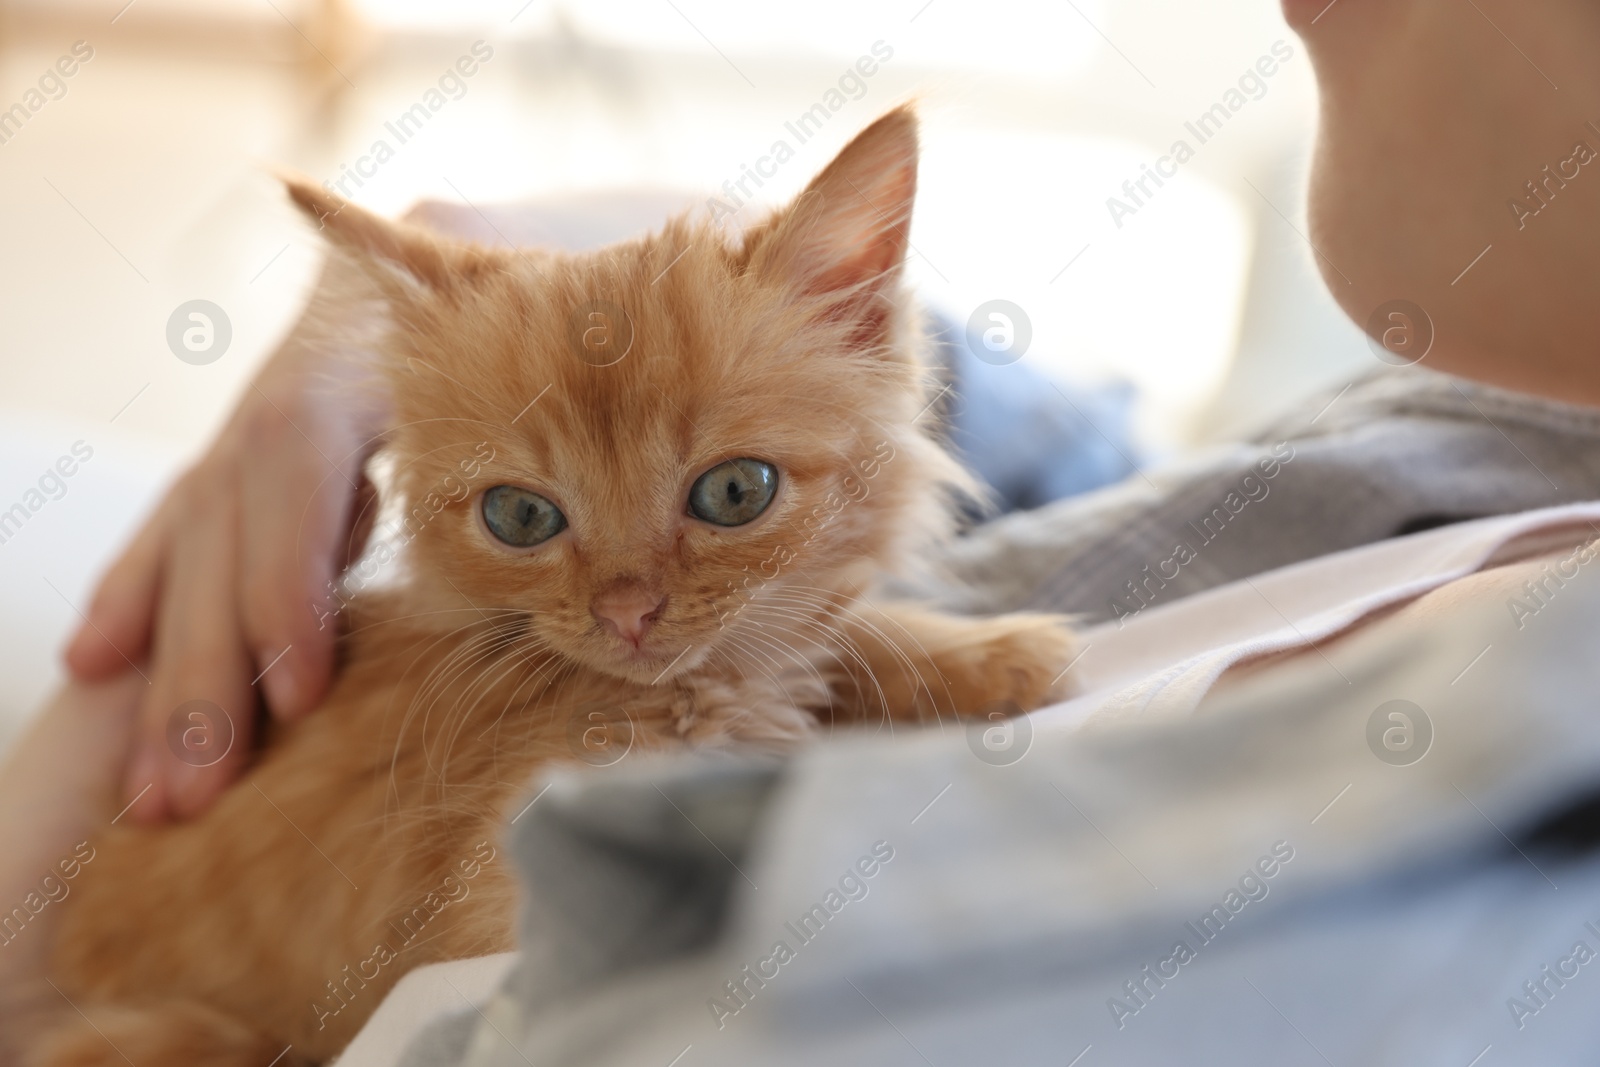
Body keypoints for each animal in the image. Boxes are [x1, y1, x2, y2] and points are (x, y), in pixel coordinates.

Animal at [21, 108, 1075, 1067]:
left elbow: (836, 635)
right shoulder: (489, 908)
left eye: (736, 492)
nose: (627, 610)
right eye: (520, 517)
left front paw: (994, 655)